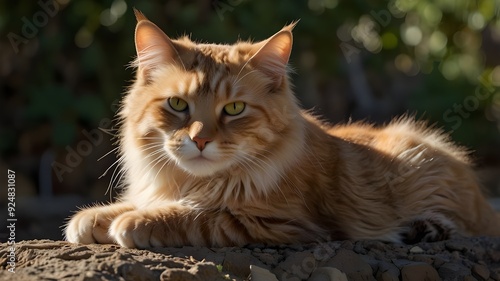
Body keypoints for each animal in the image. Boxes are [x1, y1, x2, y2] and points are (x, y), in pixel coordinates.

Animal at [63, 10, 500, 247]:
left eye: (234, 109)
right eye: (178, 105)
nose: (200, 140)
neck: (191, 183)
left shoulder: (278, 223)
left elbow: (195, 216)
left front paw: (134, 223)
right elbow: (135, 203)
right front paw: (95, 219)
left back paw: (425, 228)